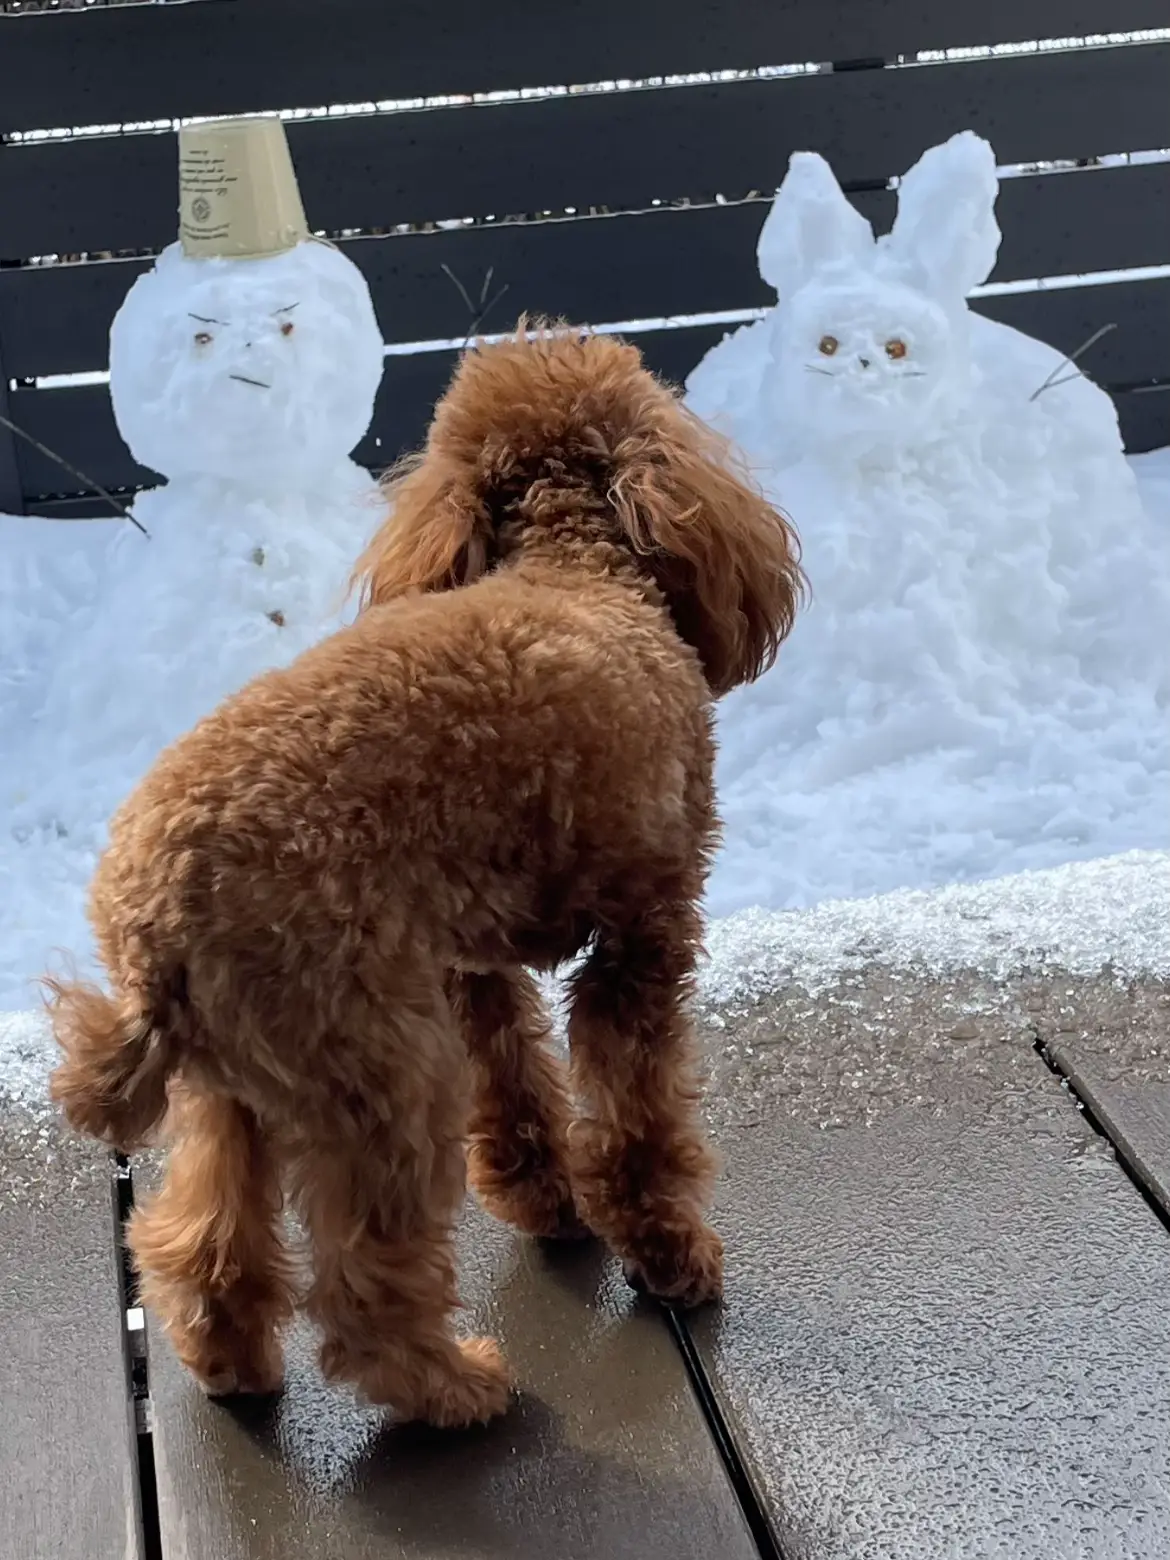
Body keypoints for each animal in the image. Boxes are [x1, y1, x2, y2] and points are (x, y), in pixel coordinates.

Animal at [45, 326, 804, 1428]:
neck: (573, 563)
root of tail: (151, 939)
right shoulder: (644, 934)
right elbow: (637, 1114)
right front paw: (667, 1249)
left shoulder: (464, 956)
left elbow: (514, 1080)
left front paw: (545, 1201)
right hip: (377, 1066)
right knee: (362, 1283)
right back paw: (453, 1388)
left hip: (239, 1077)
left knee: (204, 1233)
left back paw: (232, 1362)